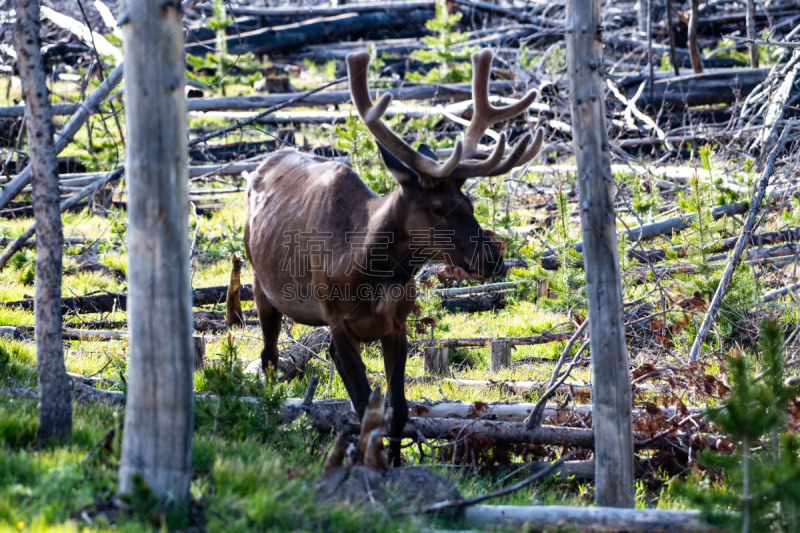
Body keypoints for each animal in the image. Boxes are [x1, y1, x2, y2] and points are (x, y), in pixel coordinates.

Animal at [244, 51, 544, 466]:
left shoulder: (396, 325)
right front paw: (371, 463)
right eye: (438, 208)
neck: (365, 267)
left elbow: (397, 409)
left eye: (469, 203)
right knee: (269, 357)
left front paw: (395, 464)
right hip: (261, 287)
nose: (493, 261)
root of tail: (258, 166)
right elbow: (363, 406)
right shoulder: (337, 319)